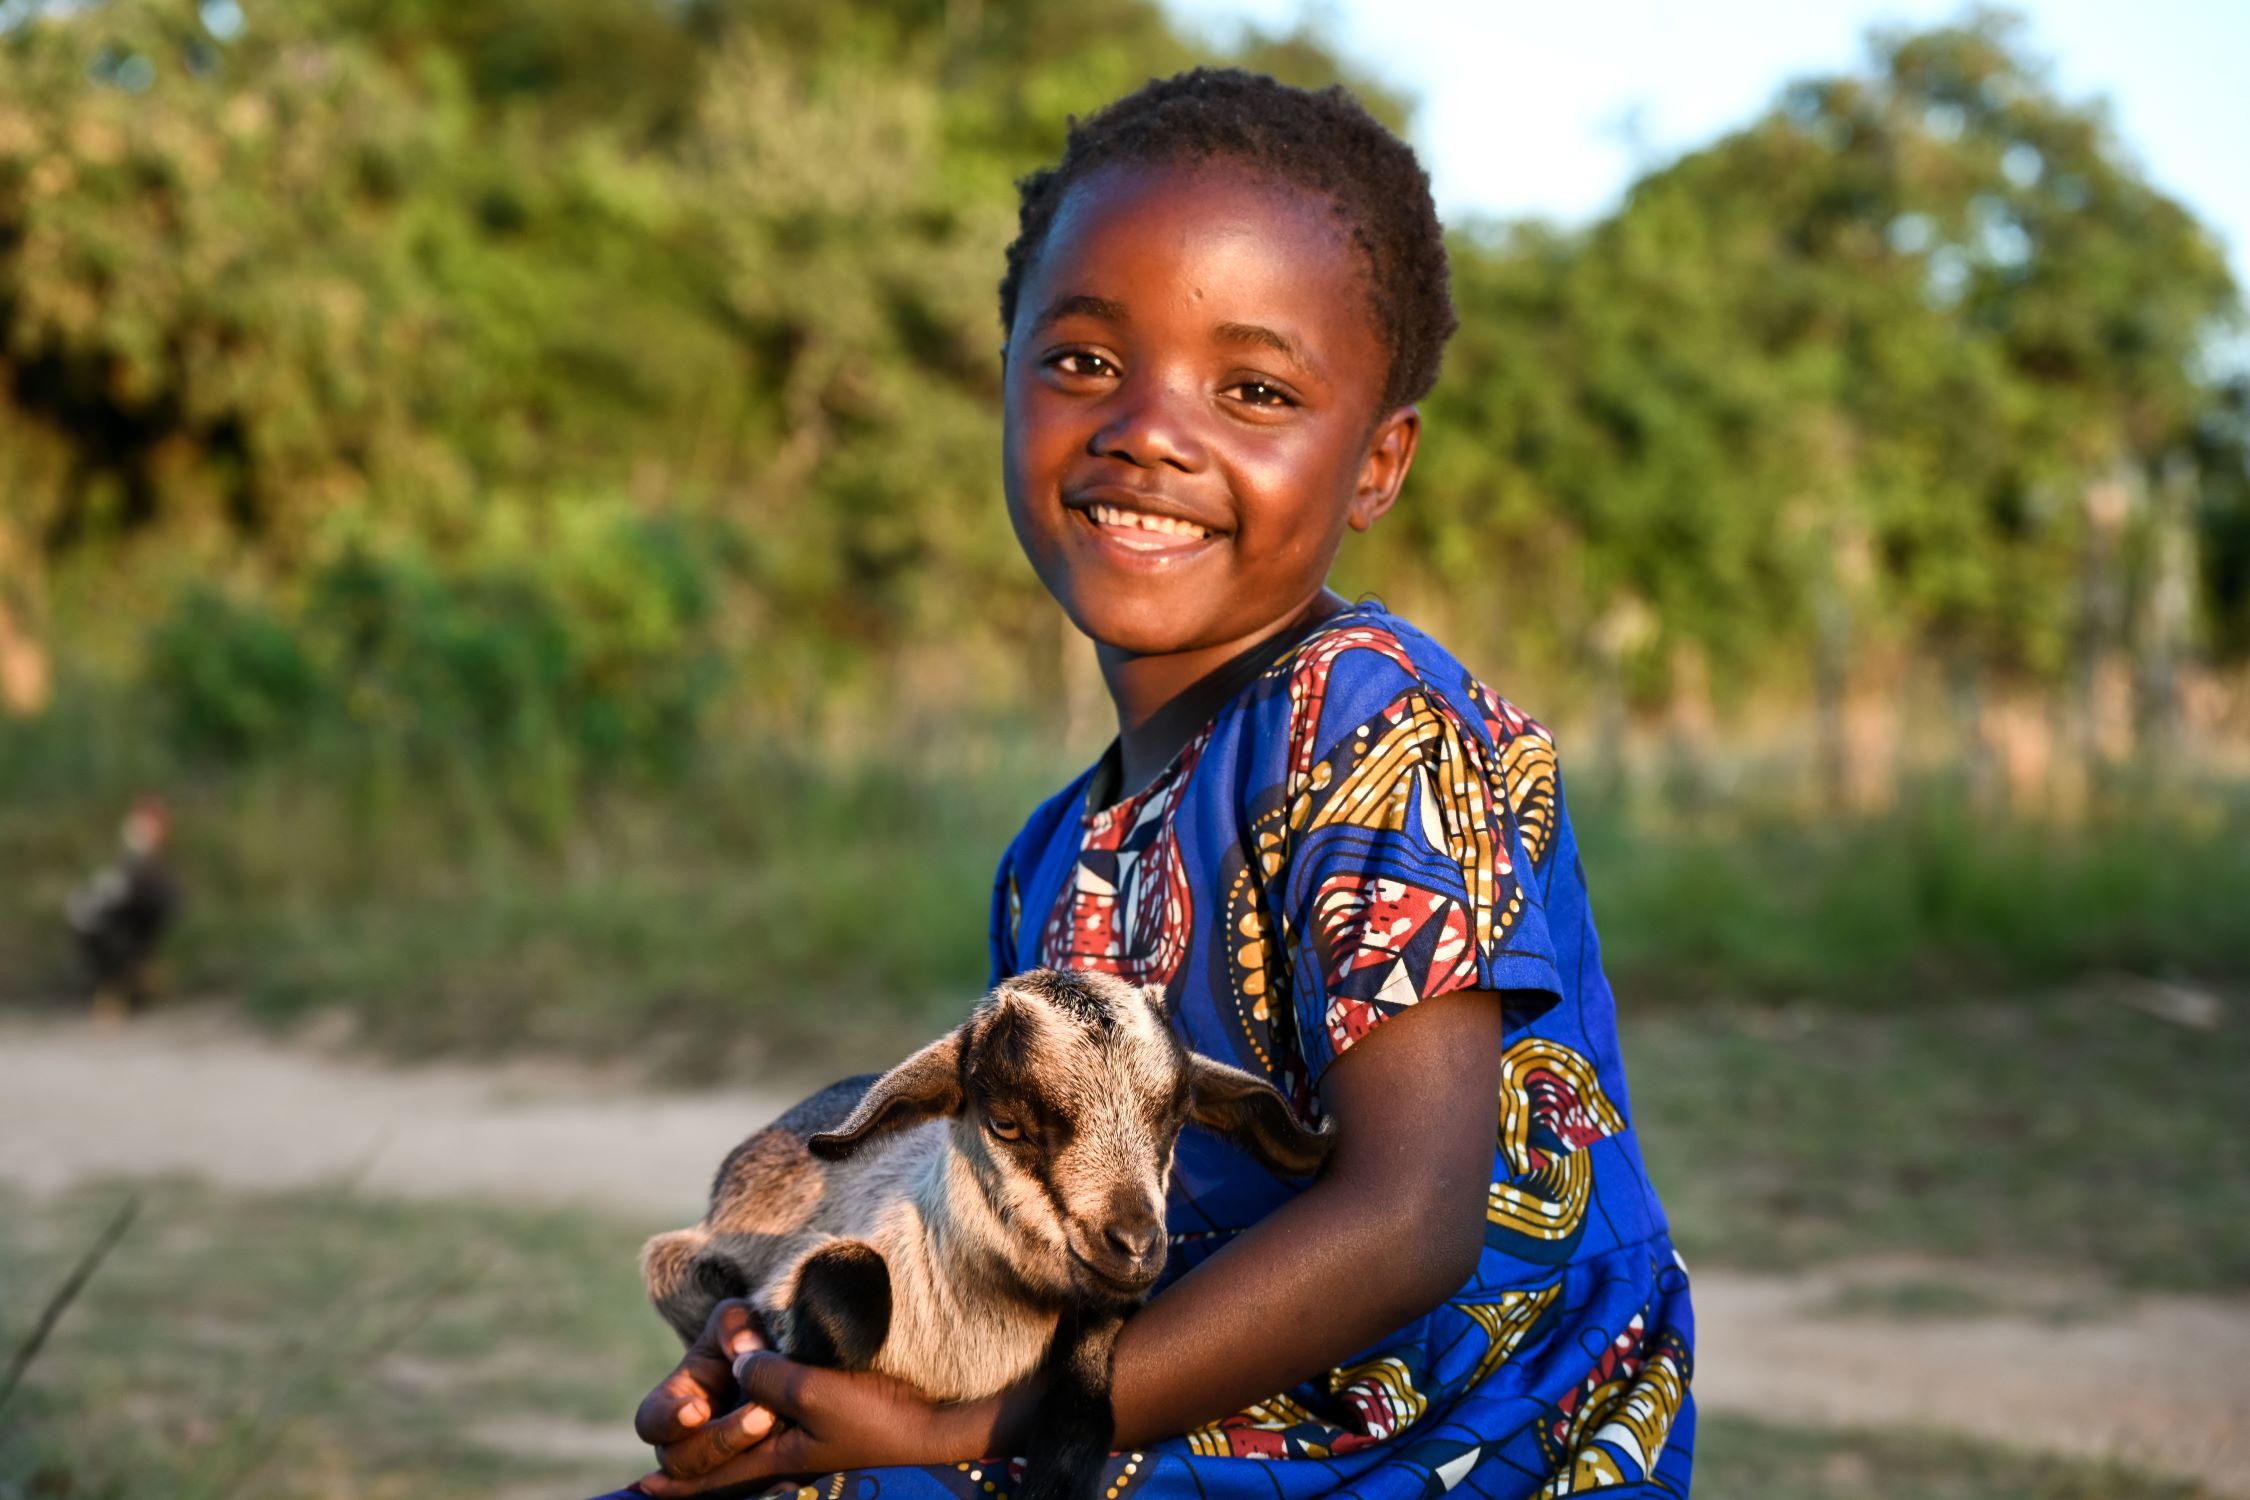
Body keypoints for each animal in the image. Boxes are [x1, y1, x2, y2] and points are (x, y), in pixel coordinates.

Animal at [642, 967, 1334, 1500]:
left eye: (1176, 1119)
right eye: (1005, 1124)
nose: (1135, 1244)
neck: (977, 1341)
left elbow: (1092, 1361)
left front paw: (1058, 1472)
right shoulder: (790, 1279)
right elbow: (848, 1287)